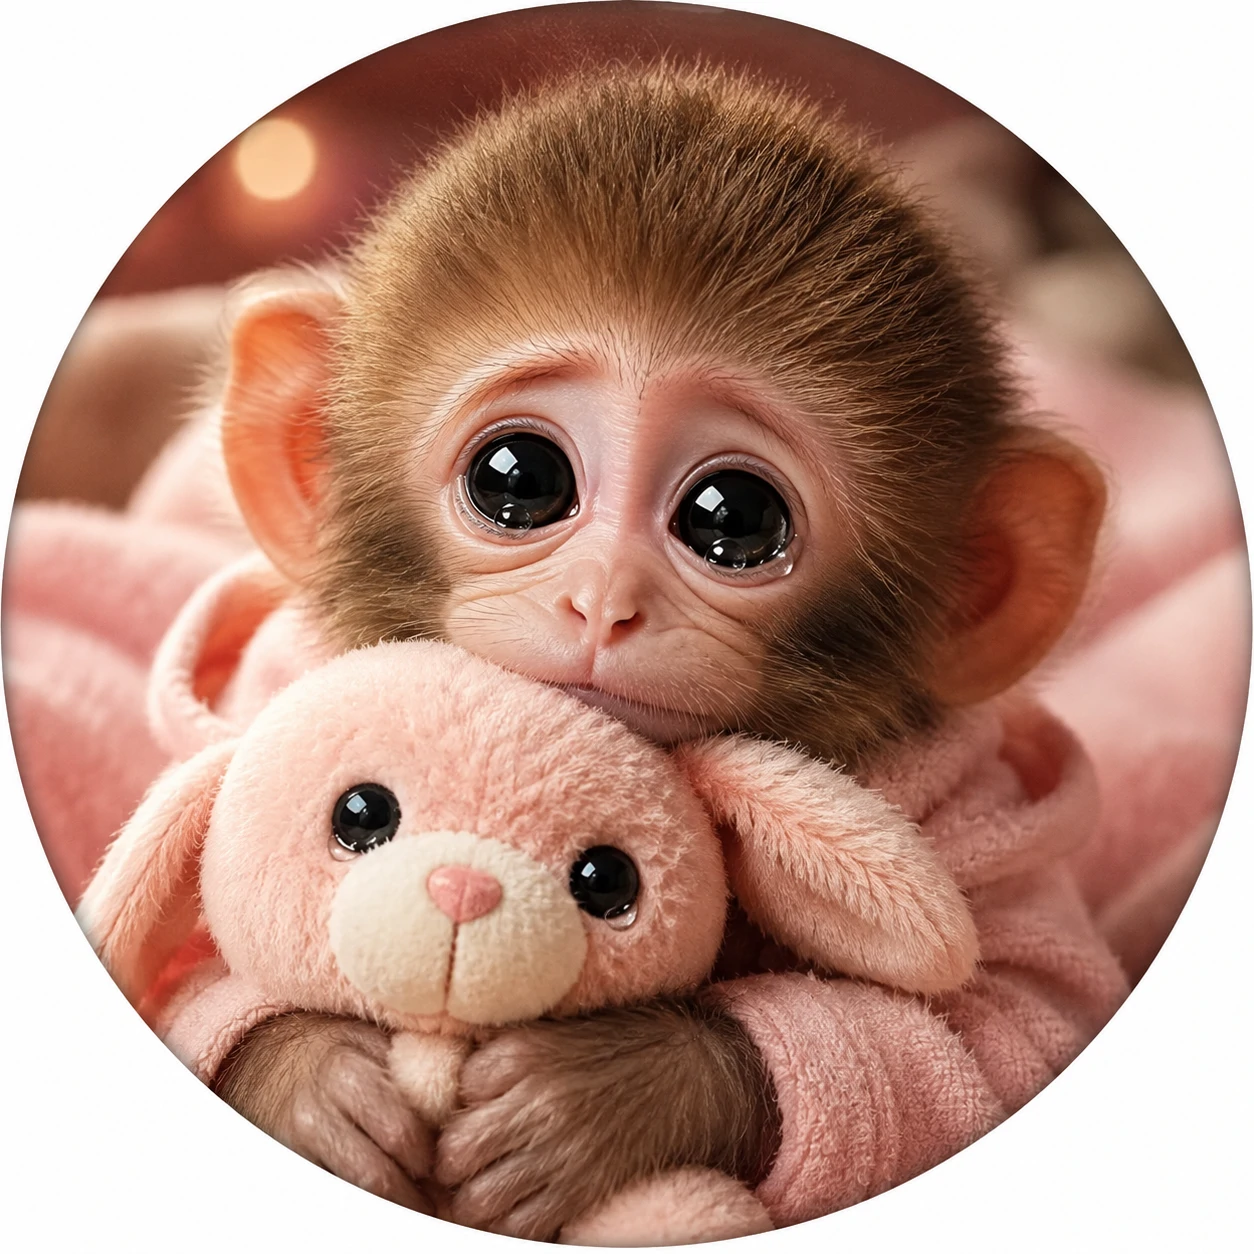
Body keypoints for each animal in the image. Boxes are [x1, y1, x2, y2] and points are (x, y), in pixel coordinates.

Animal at [191, 62, 1116, 1237]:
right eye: (517, 476)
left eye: (735, 518)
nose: (604, 603)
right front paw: (312, 1080)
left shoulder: (974, 798)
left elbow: (1012, 1022)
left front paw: (610, 1094)